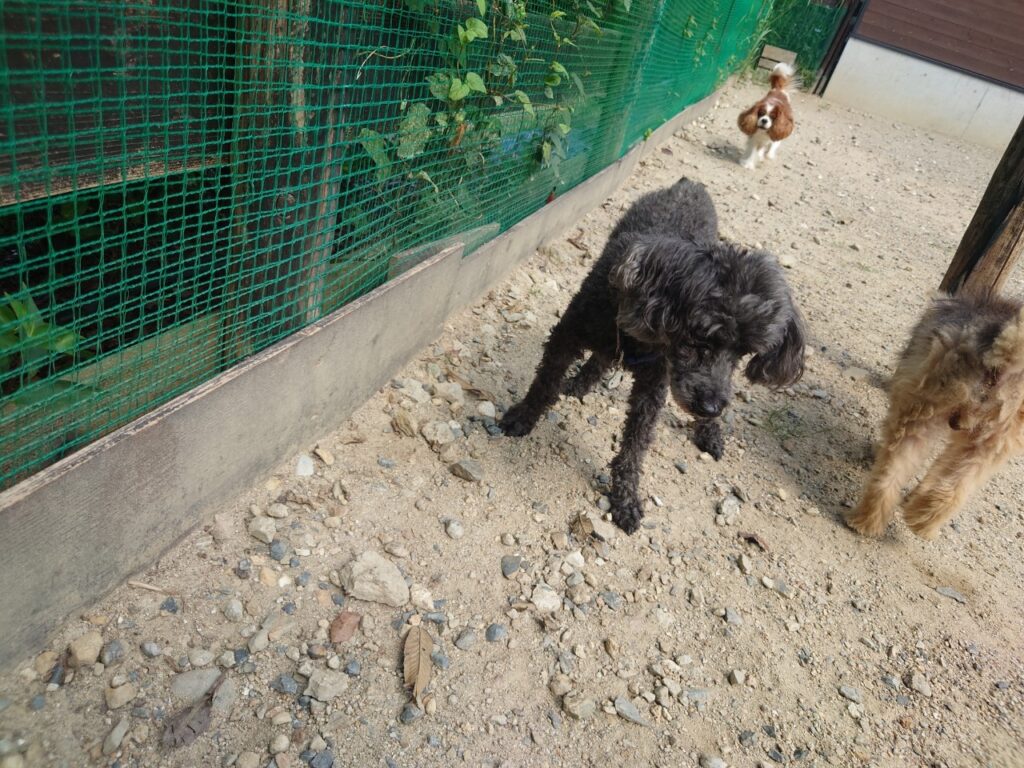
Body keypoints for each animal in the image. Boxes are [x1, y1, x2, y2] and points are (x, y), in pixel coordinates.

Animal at [500, 178, 806, 533]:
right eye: (703, 338)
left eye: (743, 353)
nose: (711, 407)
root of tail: (689, 184)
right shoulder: (569, 334)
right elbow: (544, 383)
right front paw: (522, 417)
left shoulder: (654, 384)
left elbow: (636, 444)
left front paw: (626, 498)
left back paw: (709, 433)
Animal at [847, 293, 1024, 540]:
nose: (956, 424)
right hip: (987, 442)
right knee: (954, 487)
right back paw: (919, 522)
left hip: (926, 414)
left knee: (893, 471)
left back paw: (868, 521)